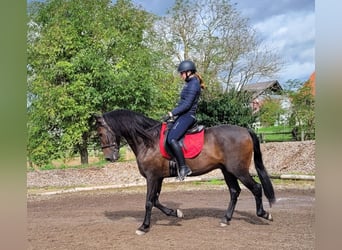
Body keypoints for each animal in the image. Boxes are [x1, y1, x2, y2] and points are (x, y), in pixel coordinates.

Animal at [93, 109, 276, 234]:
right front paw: (176, 213)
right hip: (227, 171)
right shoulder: (158, 177)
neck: (148, 140)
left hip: (238, 170)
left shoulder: (152, 177)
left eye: (100, 133)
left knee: (256, 188)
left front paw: (144, 227)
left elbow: (149, 202)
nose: (109, 158)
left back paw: (264, 214)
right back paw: (225, 219)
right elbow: (156, 200)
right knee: (234, 191)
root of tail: (245, 130)